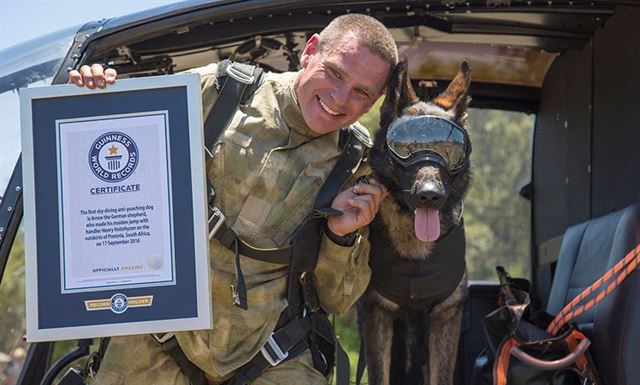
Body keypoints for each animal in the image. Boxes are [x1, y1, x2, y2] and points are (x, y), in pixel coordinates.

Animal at [358, 60, 472, 384]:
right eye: (404, 148)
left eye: (451, 151)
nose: (429, 196)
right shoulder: (377, 315)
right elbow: (379, 375)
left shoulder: (446, 317)